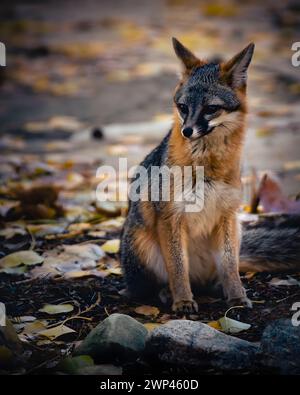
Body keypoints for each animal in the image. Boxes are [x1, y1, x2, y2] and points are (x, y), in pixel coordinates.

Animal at [119, 38, 300, 314]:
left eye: (211, 109)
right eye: (183, 107)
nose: (187, 131)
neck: (207, 166)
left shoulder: (226, 215)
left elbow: (230, 266)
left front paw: (236, 296)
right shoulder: (171, 217)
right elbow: (177, 268)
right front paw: (183, 300)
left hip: (235, 231)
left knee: (220, 271)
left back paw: (217, 288)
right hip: (143, 247)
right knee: (146, 288)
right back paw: (165, 293)